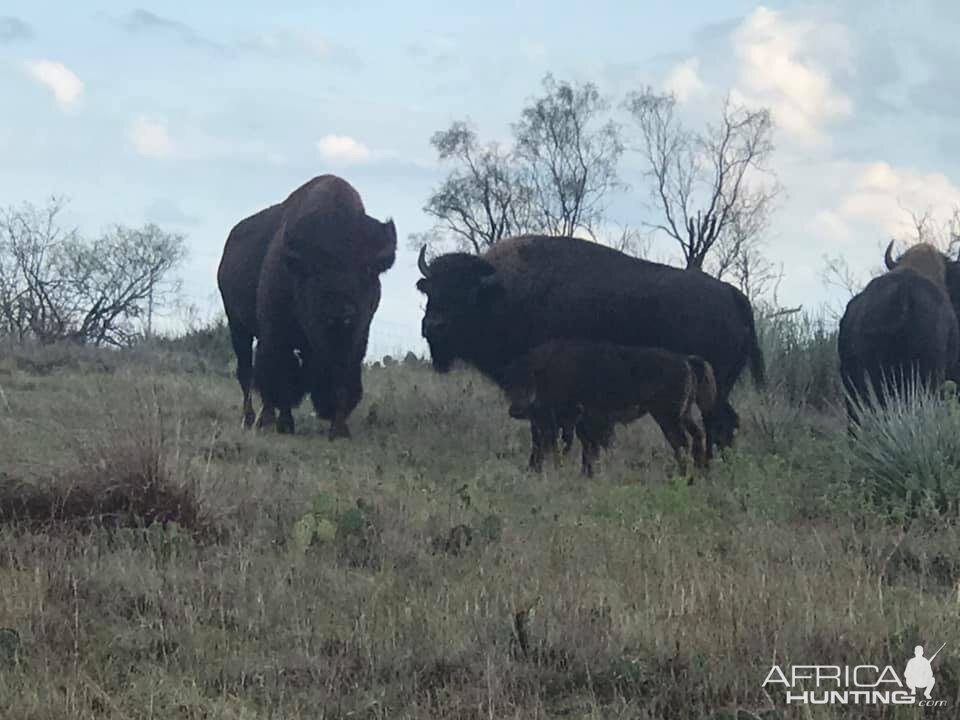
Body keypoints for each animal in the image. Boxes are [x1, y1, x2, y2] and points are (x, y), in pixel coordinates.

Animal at [218, 174, 398, 438]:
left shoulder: (353, 343)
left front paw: (339, 429)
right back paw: (253, 420)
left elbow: (341, 380)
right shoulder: (276, 336)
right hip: (238, 326)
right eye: (314, 269)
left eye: (367, 268)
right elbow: (280, 378)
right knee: (247, 373)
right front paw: (281, 424)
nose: (341, 313)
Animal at [412, 233, 764, 452]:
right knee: (726, 423)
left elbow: (547, 430)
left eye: (465, 295)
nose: (432, 327)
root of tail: (734, 296)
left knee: (718, 424)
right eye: (431, 290)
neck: (503, 294)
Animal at [502, 338, 712, 476]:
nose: (515, 409)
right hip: (684, 415)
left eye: (530, 381)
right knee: (696, 435)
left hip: (667, 417)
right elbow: (586, 447)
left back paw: (683, 474)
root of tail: (685, 360)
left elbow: (585, 446)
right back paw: (698, 473)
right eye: (510, 384)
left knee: (682, 442)